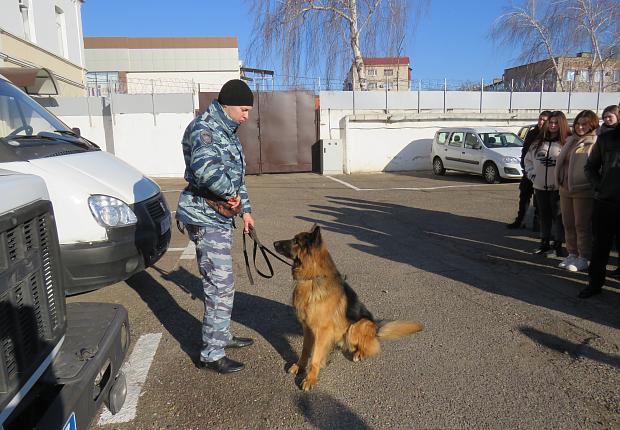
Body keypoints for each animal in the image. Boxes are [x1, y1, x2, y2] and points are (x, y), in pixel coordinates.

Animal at [274, 225, 424, 390]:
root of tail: (376, 329)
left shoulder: (322, 330)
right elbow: (305, 351)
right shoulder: (308, 328)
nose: (274, 243)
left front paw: (310, 378)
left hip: (357, 326)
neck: (313, 278)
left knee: (370, 347)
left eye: (296, 241)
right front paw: (299, 366)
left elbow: (315, 357)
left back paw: (359, 354)